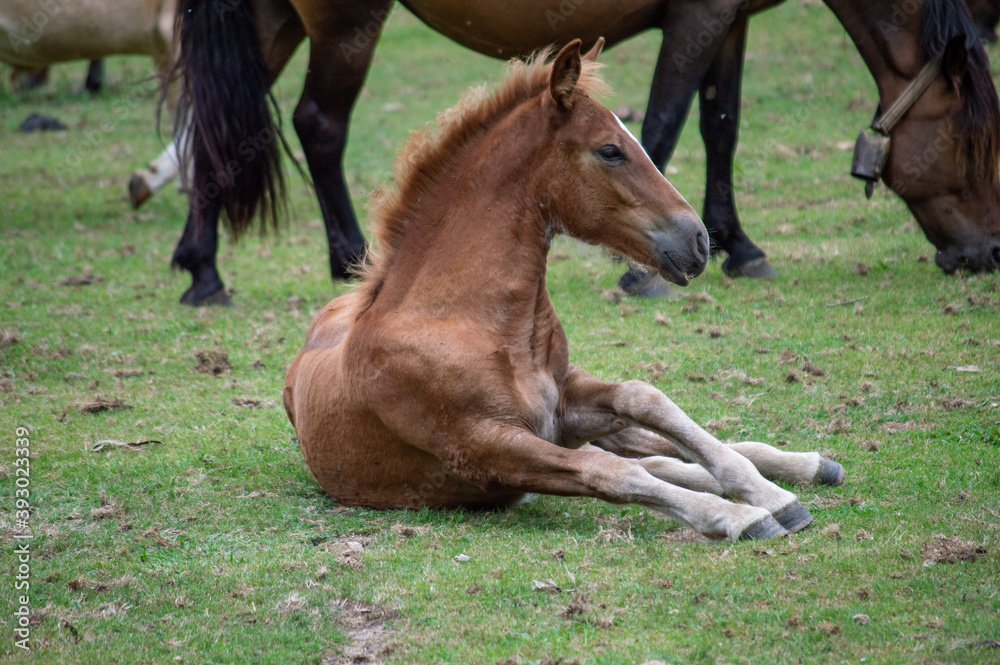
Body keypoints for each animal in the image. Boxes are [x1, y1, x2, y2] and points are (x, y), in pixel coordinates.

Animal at [170, 0, 1000, 306]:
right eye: (972, 143)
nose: (987, 253)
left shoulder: (731, 19)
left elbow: (721, 123)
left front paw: (739, 243)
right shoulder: (700, 14)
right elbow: (668, 119)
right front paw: (645, 272)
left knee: (214, 128)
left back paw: (206, 266)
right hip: (346, 21)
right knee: (319, 124)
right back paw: (334, 260)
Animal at [282, 42, 844, 540]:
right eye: (611, 150)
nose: (700, 240)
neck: (465, 321)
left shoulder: (567, 401)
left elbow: (646, 398)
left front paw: (768, 494)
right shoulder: (487, 445)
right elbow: (611, 472)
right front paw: (739, 515)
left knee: (655, 449)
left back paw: (807, 464)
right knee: (647, 460)